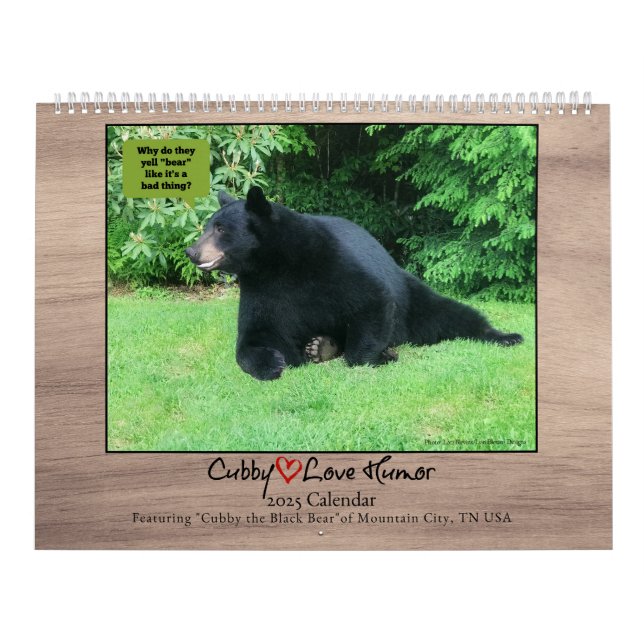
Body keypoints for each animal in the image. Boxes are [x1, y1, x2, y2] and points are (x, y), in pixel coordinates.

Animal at [185, 187, 523, 381]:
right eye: (208, 226)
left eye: (220, 228)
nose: (191, 251)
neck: (277, 264)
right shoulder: (263, 291)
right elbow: (255, 335)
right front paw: (273, 363)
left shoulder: (330, 262)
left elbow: (371, 300)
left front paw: (379, 356)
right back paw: (321, 346)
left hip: (412, 295)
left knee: (450, 314)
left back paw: (505, 336)